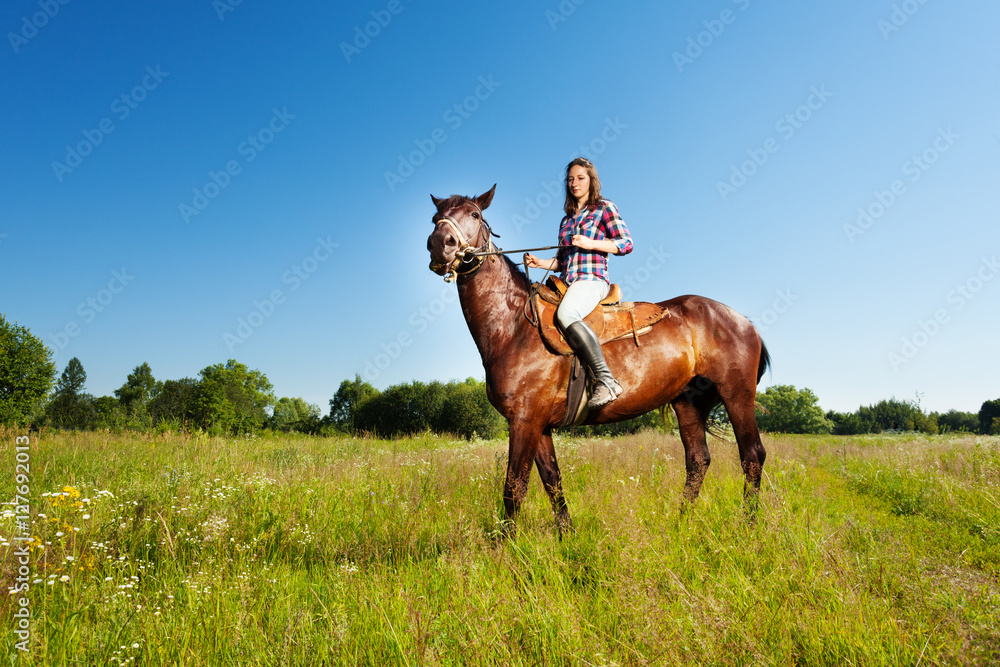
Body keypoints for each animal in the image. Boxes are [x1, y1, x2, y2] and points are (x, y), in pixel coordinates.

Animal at [426, 187, 768, 536]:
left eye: (475, 215)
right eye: (435, 217)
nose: (440, 243)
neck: (514, 327)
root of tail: (742, 320)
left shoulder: (523, 421)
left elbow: (514, 487)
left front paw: (504, 546)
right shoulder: (538, 425)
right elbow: (552, 481)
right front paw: (567, 537)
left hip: (736, 395)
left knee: (751, 456)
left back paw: (748, 526)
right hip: (687, 402)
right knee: (698, 460)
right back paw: (680, 522)